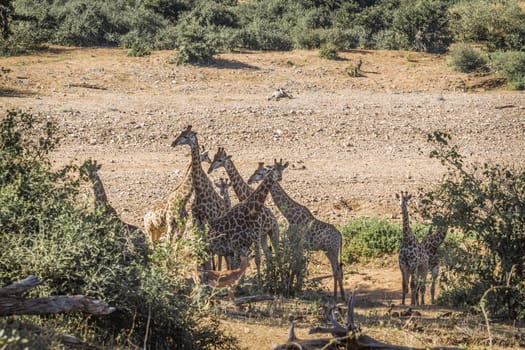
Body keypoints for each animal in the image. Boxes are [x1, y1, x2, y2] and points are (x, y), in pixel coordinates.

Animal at [248, 160, 346, 300]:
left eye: (259, 172)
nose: (250, 180)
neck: (289, 215)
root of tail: (340, 236)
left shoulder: (297, 244)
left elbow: (296, 266)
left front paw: (292, 290)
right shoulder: (297, 245)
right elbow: (296, 266)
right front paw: (293, 289)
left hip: (332, 250)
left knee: (337, 270)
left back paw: (337, 297)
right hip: (329, 251)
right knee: (337, 269)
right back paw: (339, 296)